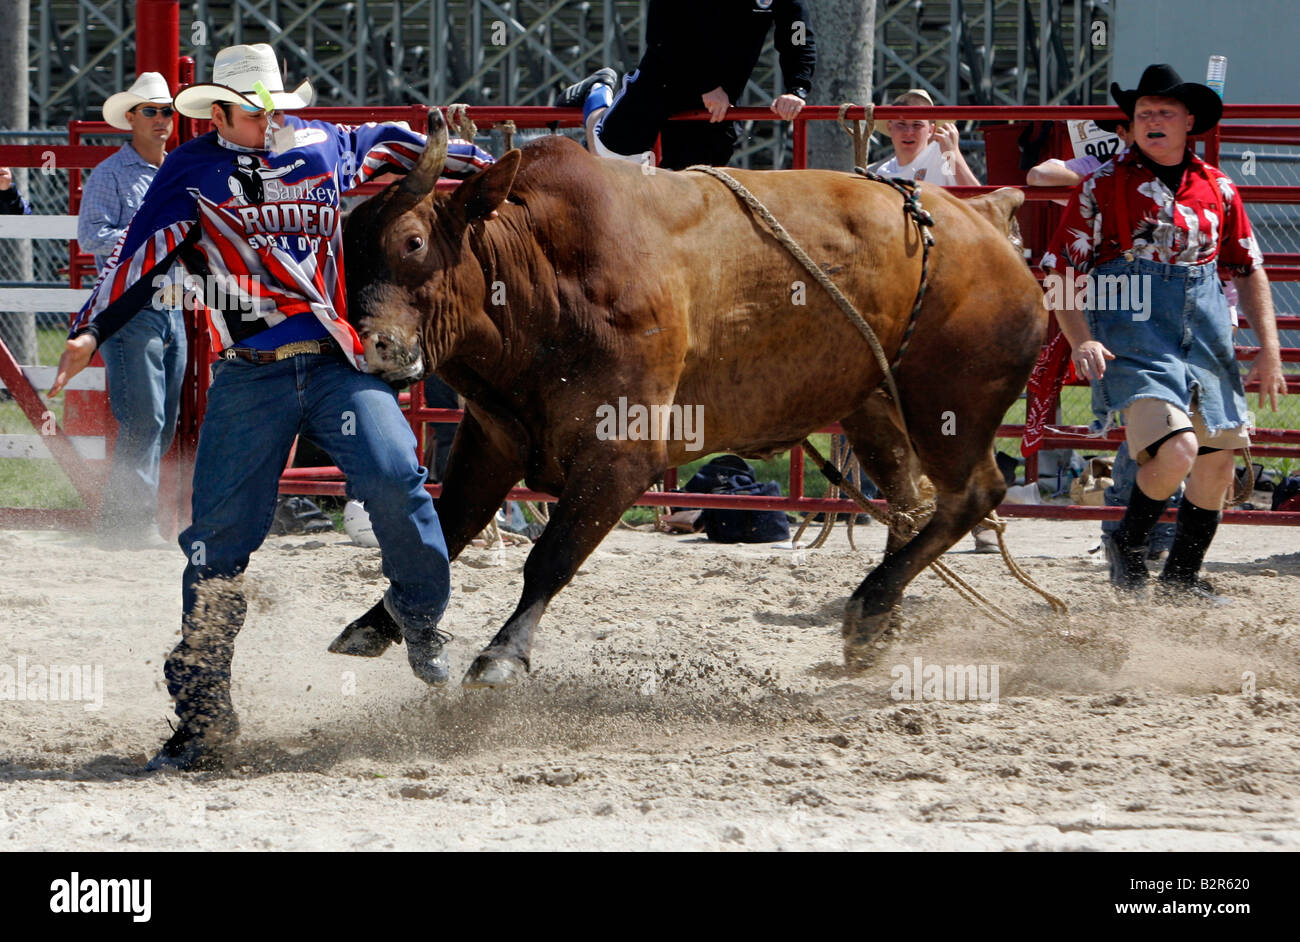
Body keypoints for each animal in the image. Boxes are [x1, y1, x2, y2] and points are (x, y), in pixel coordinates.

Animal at [332, 108, 1045, 686]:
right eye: (344, 252)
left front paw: (503, 654)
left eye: (412, 242)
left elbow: (551, 557)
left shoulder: (622, 455)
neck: (542, 273)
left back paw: (870, 606)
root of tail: (986, 218)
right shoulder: (493, 438)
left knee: (971, 495)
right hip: (875, 408)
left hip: (951, 405)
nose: (371, 345)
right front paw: (376, 623)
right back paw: (878, 621)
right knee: (911, 503)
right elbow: (443, 532)